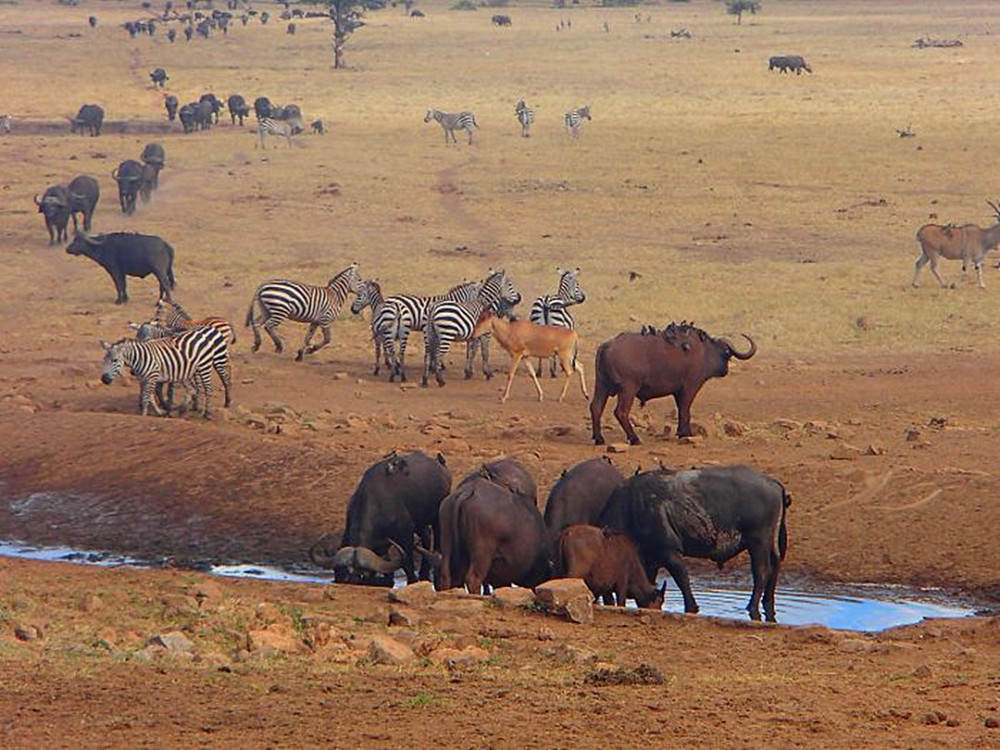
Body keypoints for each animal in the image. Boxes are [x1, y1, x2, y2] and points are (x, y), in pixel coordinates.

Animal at [310, 452, 452, 588]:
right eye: (345, 572)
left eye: (363, 575)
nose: (353, 580)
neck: (376, 502)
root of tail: (441, 466)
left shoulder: (405, 534)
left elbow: (407, 562)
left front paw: (412, 581)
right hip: (419, 522)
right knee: (427, 537)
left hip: (436, 518)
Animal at [588, 320, 752, 444]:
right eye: (727, 353)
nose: (725, 370)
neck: (705, 350)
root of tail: (607, 346)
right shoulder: (690, 387)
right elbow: (685, 410)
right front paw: (687, 433)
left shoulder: (677, 392)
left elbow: (680, 410)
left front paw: (681, 432)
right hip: (628, 389)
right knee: (621, 412)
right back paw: (634, 438)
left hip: (602, 385)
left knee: (595, 407)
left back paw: (599, 438)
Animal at [596, 470, 792, 624]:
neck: (632, 507)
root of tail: (773, 483)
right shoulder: (651, 560)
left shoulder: (670, 553)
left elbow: (682, 579)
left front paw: (692, 606)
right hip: (770, 544)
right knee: (775, 568)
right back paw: (768, 604)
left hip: (758, 543)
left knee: (761, 572)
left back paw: (752, 607)